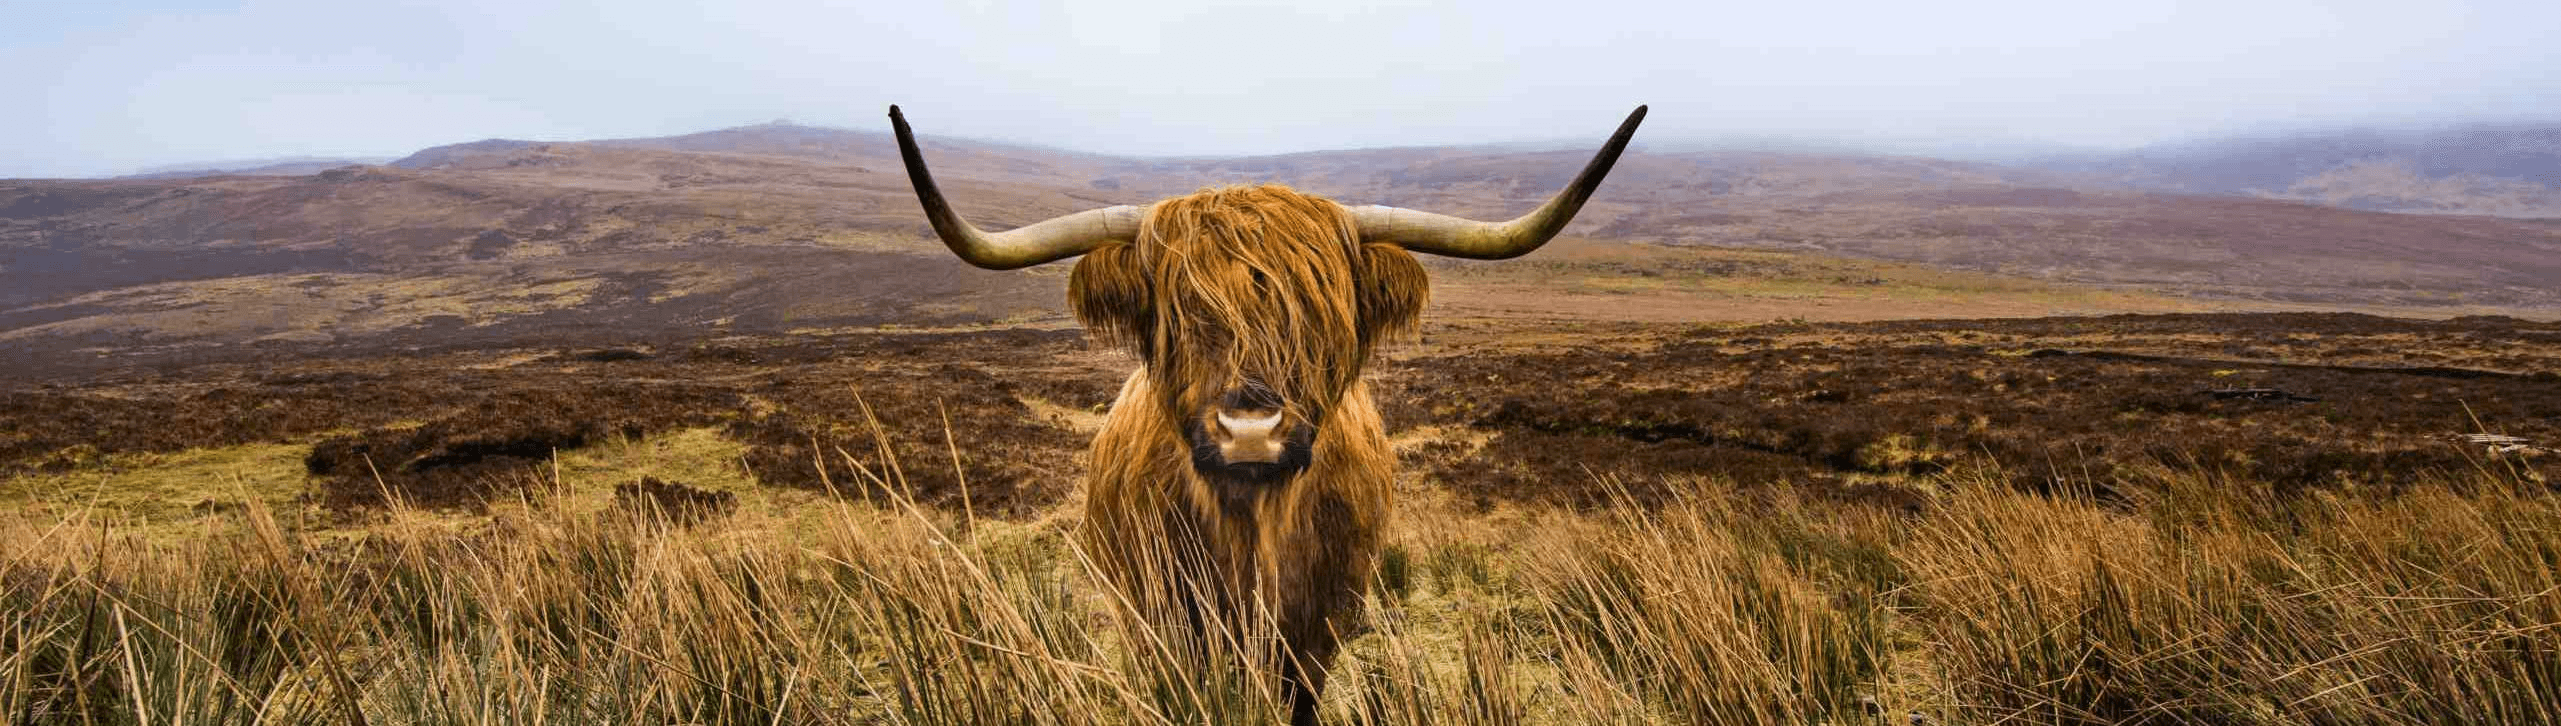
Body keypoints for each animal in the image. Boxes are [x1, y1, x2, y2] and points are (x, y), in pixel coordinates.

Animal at [888, 104, 1644, 724]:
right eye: (1177, 315)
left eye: (1320, 313)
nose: (1249, 433)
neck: (1251, 530)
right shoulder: (1161, 622)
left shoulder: (1320, 627)